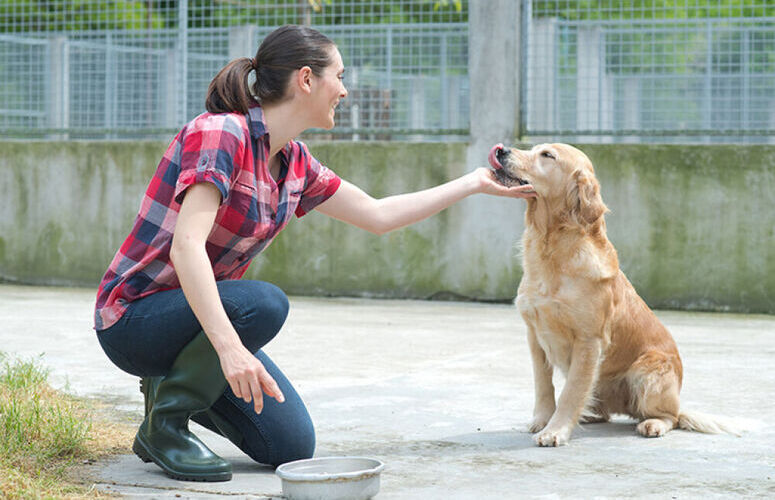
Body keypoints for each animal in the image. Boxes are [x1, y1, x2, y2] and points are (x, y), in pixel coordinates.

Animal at [492, 143, 740, 448]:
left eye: (547, 155)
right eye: (534, 148)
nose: (502, 150)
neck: (552, 248)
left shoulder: (589, 341)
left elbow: (571, 391)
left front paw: (555, 430)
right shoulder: (534, 334)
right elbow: (544, 385)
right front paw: (543, 419)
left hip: (648, 372)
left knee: (670, 416)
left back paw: (653, 423)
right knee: (605, 411)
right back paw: (589, 416)